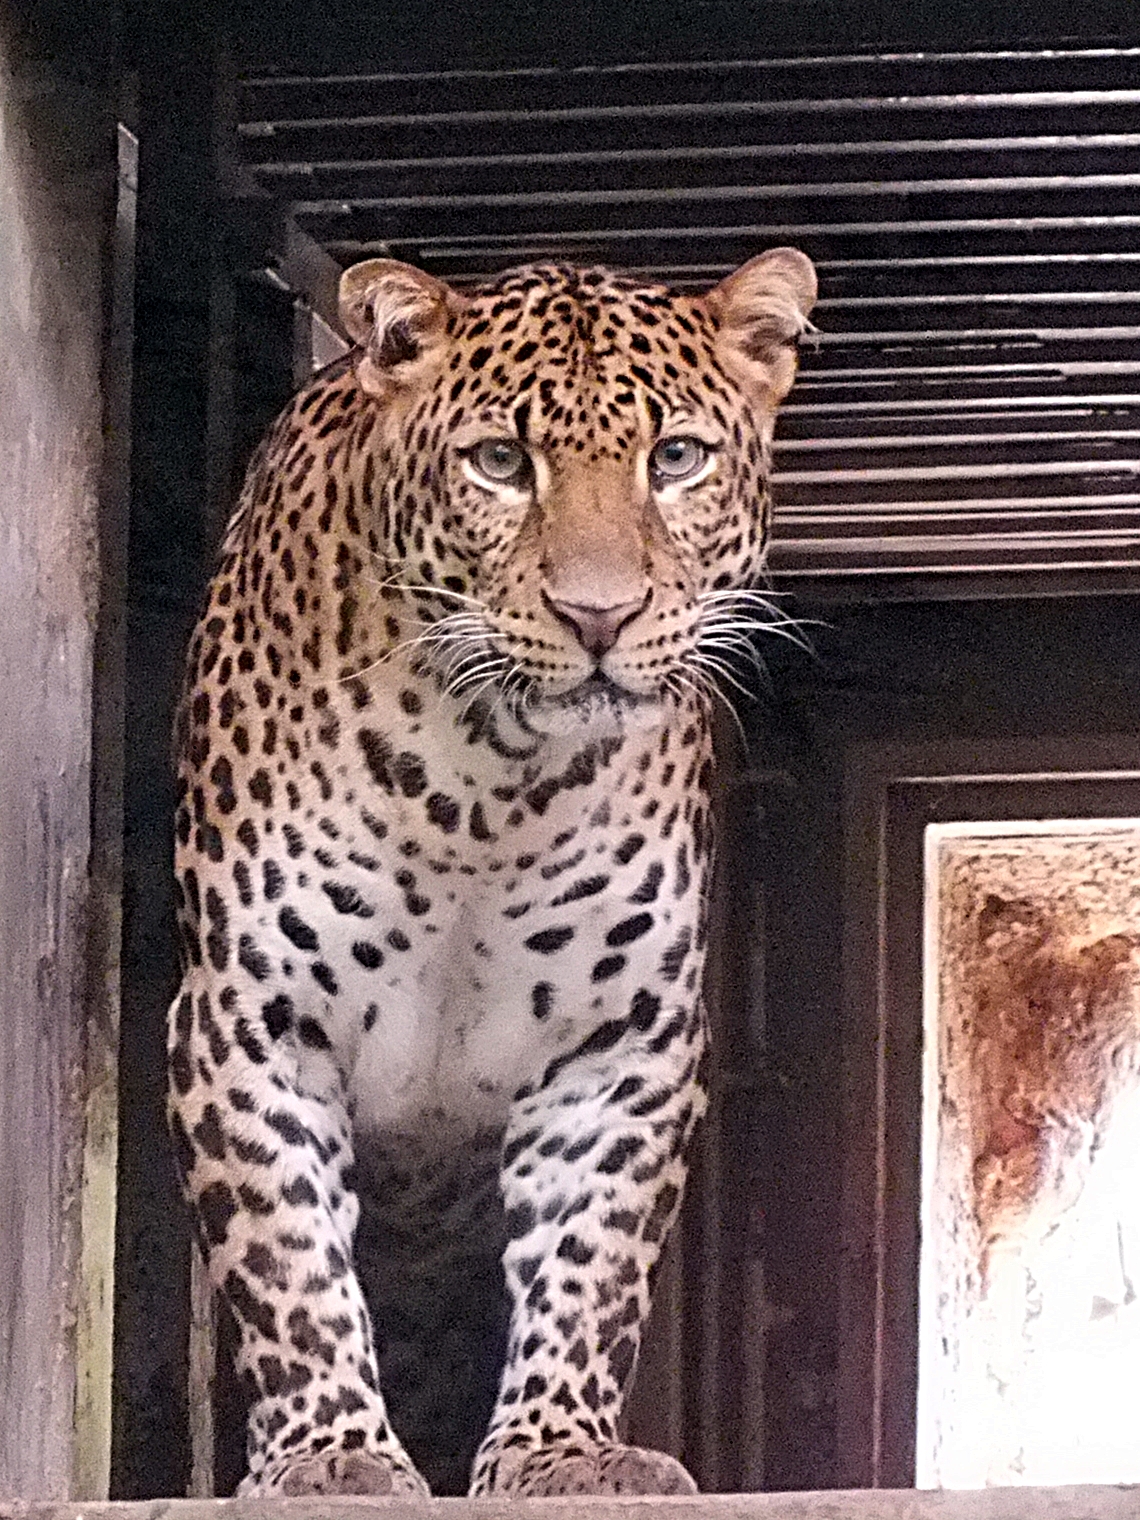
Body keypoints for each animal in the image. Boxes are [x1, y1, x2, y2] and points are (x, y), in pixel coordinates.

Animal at [167, 247, 816, 1499]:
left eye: (676, 458)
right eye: (501, 463)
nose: (599, 615)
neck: (486, 787)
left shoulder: (624, 1039)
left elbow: (587, 1259)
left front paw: (562, 1446)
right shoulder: (246, 1015)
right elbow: (287, 1255)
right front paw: (331, 1454)